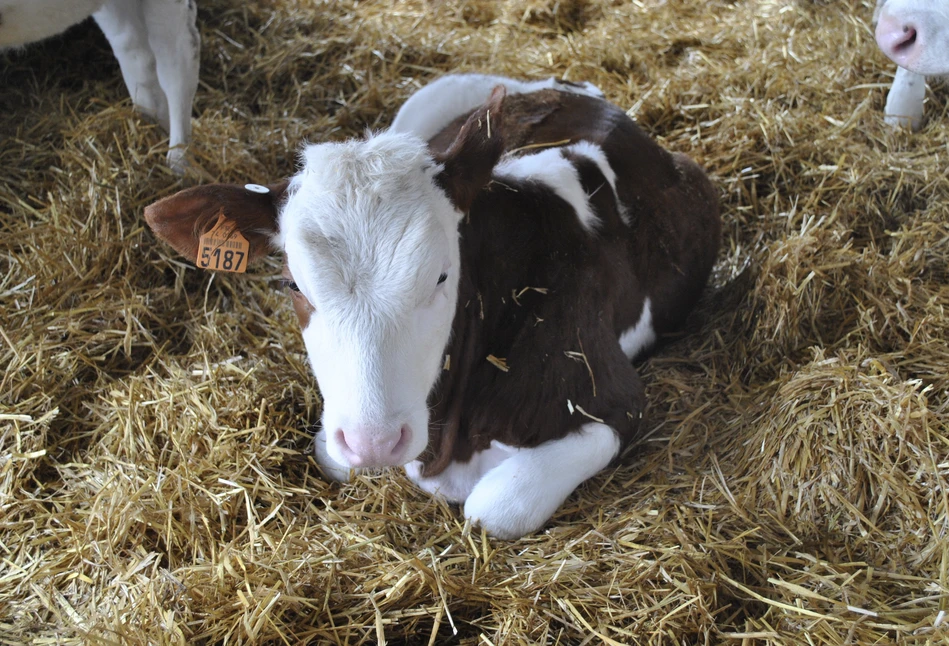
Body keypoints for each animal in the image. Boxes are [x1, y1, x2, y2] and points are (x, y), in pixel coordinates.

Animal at [143, 74, 720, 540]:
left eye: (443, 274)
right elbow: (334, 458)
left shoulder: (614, 397)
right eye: (292, 285)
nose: (375, 441)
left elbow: (494, 509)